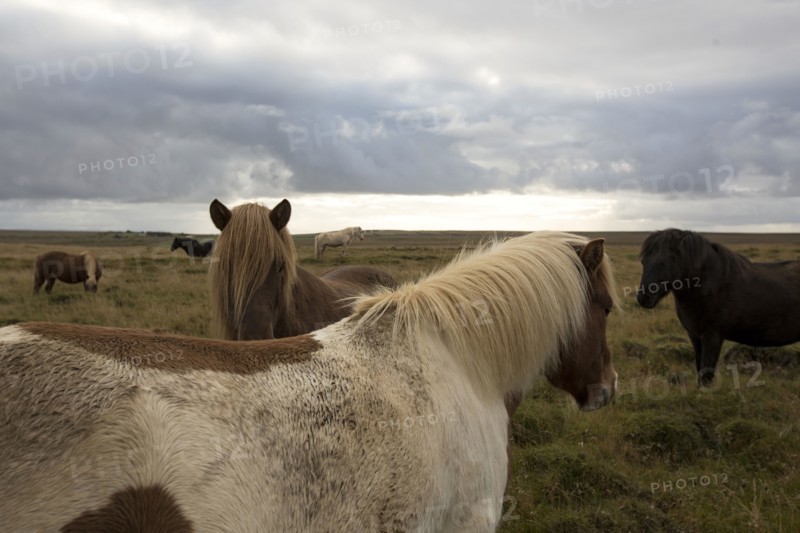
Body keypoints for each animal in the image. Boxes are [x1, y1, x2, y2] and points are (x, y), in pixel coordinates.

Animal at [637, 228, 800, 385]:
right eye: (643, 262)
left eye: (664, 262)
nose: (643, 298)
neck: (708, 285)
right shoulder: (695, 336)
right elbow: (700, 369)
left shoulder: (713, 337)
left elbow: (706, 375)